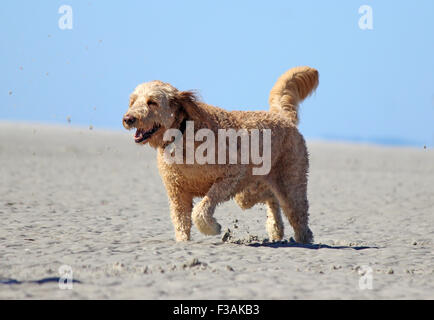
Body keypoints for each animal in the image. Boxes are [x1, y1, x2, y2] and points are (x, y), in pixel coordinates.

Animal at [122, 67, 318, 242]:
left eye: (152, 102)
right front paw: (183, 242)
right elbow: (181, 223)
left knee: (297, 213)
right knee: (271, 197)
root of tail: (283, 117)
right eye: (133, 101)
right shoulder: (177, 193)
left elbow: (201, 210)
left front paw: (213, 228)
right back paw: (275, 229)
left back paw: (304, 238)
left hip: (289, 183)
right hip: (249, 191)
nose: (127, 119)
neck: (182, 134)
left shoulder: (230, 176)